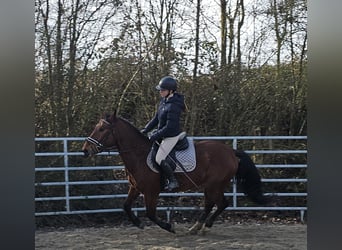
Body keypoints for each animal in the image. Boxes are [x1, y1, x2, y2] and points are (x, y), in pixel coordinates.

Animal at [82, 112, 268, 233]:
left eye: (101, 130)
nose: (85, 150)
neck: (139, 154)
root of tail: (231, 152)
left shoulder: (151, 191)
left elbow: (150, 213)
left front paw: (169, 226)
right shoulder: (135, 188)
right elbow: (126, 206)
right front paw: (138, 223)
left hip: (214, 185)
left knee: (221, 203)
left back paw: (205, 226)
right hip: (210, 186)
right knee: (211, 204)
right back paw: (196, 227)